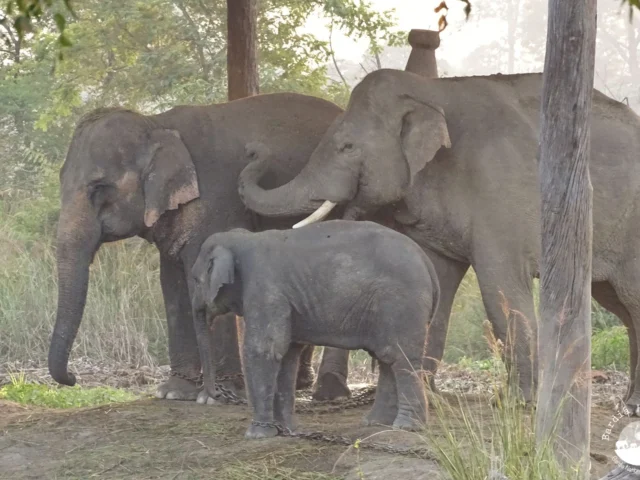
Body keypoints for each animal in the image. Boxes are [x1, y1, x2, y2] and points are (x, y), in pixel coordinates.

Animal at [49, 91, 363, 402]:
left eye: (99, 188)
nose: (73, 378)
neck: (156, 124)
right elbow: (172, 285)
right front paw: (174, 392)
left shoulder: (218, 199)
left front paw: (219, 396)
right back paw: (298, 385)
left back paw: (328, 391)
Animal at [190, 220, 440, 438]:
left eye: (195, 280)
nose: (212, 395)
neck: (243, 238)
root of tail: (426, 261)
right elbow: (287, 355)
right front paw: (286, 430)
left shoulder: (265, 290)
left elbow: (264, 350)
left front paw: (257, 435)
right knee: (387, 357)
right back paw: (377, 423)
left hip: (401, 303)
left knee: (401, 358)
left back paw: (406, 427)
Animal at [238, 68, 640, 408]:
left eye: (347, 147)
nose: (254, 149)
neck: (431, 90)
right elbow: (436, 281)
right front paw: (426, 396)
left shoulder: (500, 194)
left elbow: (501, 290)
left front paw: (516, 404)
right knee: (619, 304)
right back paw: (629, 404)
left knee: (632, 300)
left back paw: (631, 406)